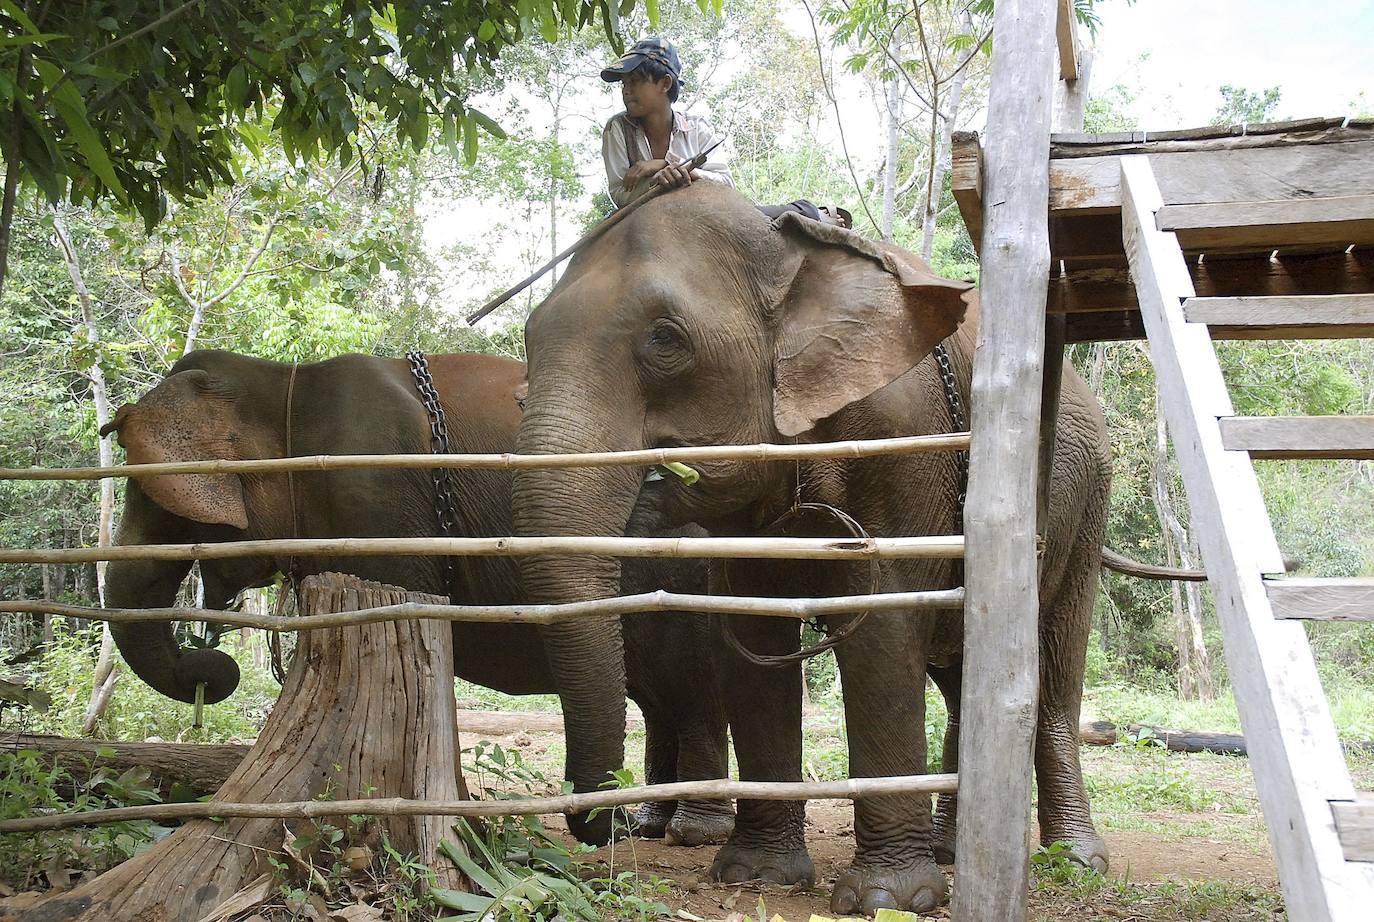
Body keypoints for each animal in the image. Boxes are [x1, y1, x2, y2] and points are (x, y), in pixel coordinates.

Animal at [99, 349, 733, 846]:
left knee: (691, 686)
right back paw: (649, 823)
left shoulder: (376, 498)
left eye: (155, 505)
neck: (283, 384)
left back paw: (687, 832)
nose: (211, 667)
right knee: (660, 695)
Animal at [511, 181, 1111, 915]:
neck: (789, 246)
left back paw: (1075, 861)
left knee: (1052, 674)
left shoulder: (901, 443)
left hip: (1087, 506)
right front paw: (758, 874)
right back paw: (955, 852)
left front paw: (887, 899)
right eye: (530, 339)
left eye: (666, 339)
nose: (617, 825)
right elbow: (752, 631)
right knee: (962, 674)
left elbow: (882, 628)